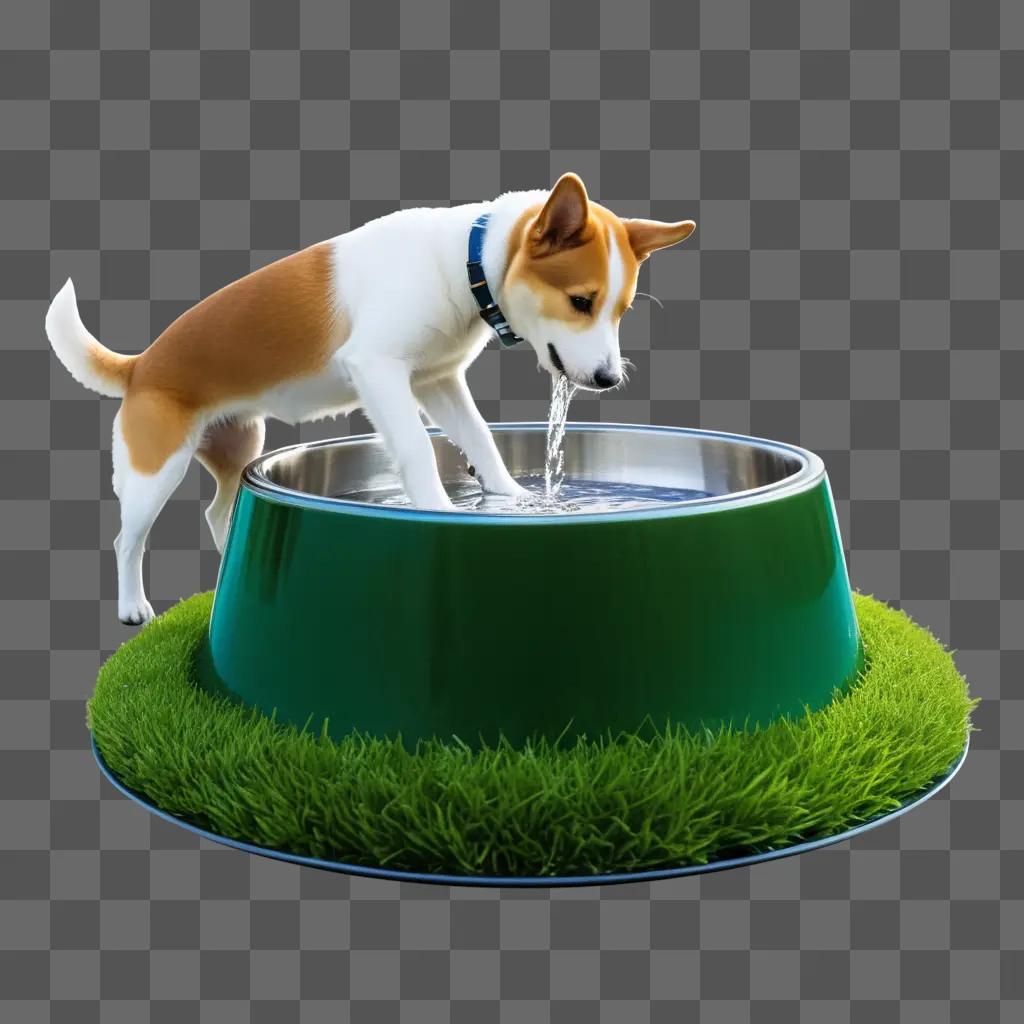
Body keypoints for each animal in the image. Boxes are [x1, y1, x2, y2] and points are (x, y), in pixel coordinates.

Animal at [46, 174, 696, 622]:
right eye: (582, 302)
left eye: (622, 309)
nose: (609, 379)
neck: (463, 261)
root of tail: (141, 365)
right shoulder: (379, 370)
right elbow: (413, 448)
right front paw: (439, 512)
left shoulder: (437, 381)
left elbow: (482, 442)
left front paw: (513, 499)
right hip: (155, 471)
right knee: (127, 538)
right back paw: (132, 606)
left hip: (238, 444)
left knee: (215, 511)